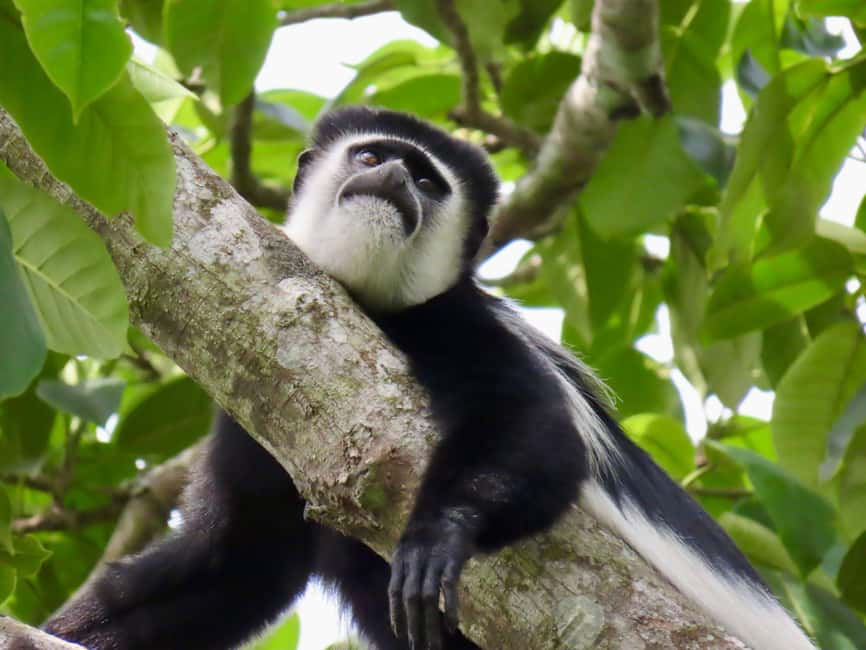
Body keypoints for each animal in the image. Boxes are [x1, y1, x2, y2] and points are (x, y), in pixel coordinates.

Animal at [44, 106, 815, 650]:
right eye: (372, 155)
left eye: (424, 181)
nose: (390, 179)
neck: (369, 304)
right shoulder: (252, 398)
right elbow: (240, 559)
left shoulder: (453, 323)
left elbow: (533, 430)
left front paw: (434, 541)